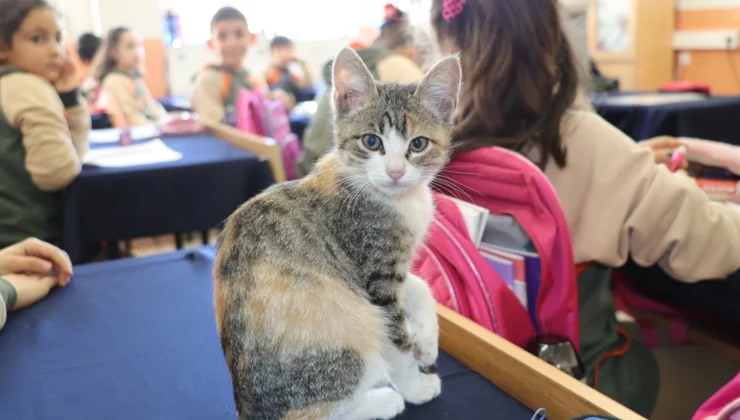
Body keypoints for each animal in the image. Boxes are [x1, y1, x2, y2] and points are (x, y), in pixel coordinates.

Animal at [211, 47, 460, 418]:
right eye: (371, 141)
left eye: (418, 144)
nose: (396, 172)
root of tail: (250, 409)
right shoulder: (375, 276)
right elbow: (396, 342)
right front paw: (416, 384)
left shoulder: (391, 269)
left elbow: (420, 285)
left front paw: (427, 342)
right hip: (354, 328)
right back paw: (385, 400)